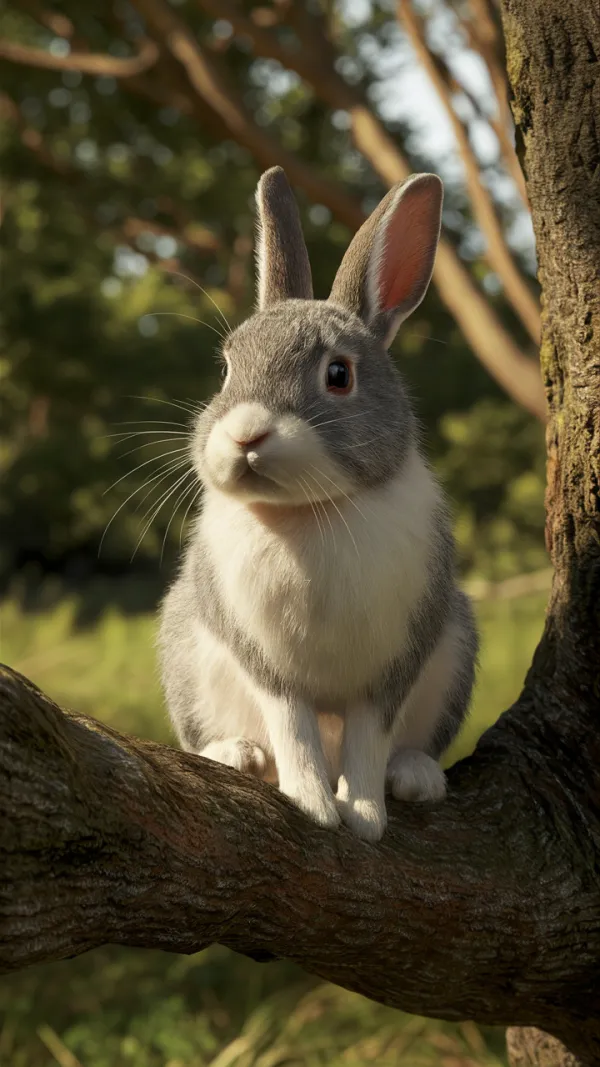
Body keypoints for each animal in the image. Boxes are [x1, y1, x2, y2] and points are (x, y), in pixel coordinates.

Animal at [159, 166, 478, 842]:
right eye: (226, 370)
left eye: (339, 375)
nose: (246, 436)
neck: (307, 513)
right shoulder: (269, 666)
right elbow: (294, 731)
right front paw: (311, 804)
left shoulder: (392, 668)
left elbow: (367, 741)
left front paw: (363, 817)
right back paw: (236, 755)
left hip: (456, 651)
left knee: (406, 745)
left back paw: (416, 776)